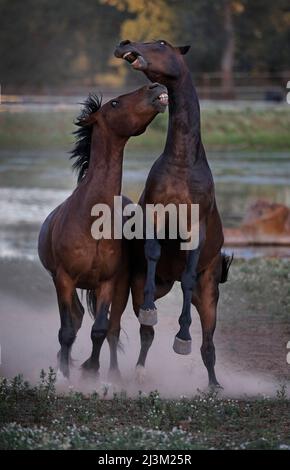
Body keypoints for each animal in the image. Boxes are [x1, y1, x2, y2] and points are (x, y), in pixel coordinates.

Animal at [38, 83, 168, 378]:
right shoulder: (64, 278)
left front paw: (92, 371)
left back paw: (114, 374)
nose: (155, 87)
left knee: (111, 328)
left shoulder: (108, 283)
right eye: (115, 103)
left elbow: (99, 330)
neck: (91, 220)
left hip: (121, 288)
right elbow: (66, 331)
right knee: (74, 321)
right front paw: (64, 376)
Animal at [114, 38, 232, 388]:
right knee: (147, 331)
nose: (125, 44)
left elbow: (190, 277)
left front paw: (182, 338)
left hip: (209, 297)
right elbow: (153, 252)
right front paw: (152, 311)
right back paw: (140, 369)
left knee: (208, 342)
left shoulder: (196, 227)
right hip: (148, 285)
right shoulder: (155, 216)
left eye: (162, 44)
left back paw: (214, 385)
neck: (182, 163)